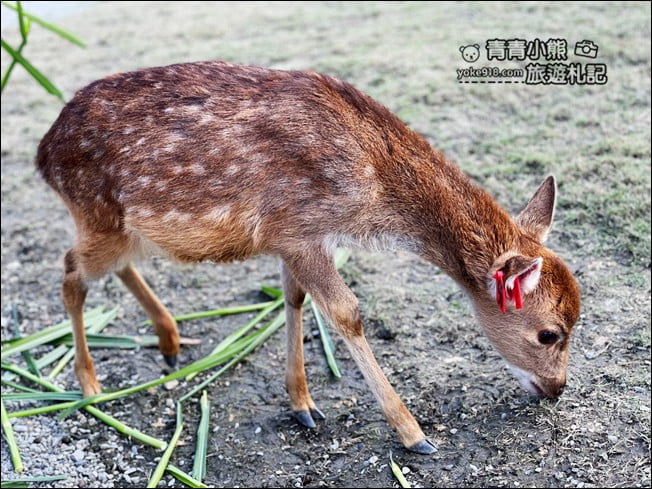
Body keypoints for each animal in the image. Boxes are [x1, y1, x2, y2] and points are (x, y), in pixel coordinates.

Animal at [36, 60, 581, 454]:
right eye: (549, 333)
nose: (556, 388)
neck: (372, 184)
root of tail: (42, 155)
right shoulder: (298, 229)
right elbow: (346, 312)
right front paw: (414, 434)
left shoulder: (295, 238)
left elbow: (293, 299)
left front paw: (302, 404)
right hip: (96, 211)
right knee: (69, 271)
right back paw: (91, 387)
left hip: (126, 228)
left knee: (109, 266)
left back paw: (169, 340)